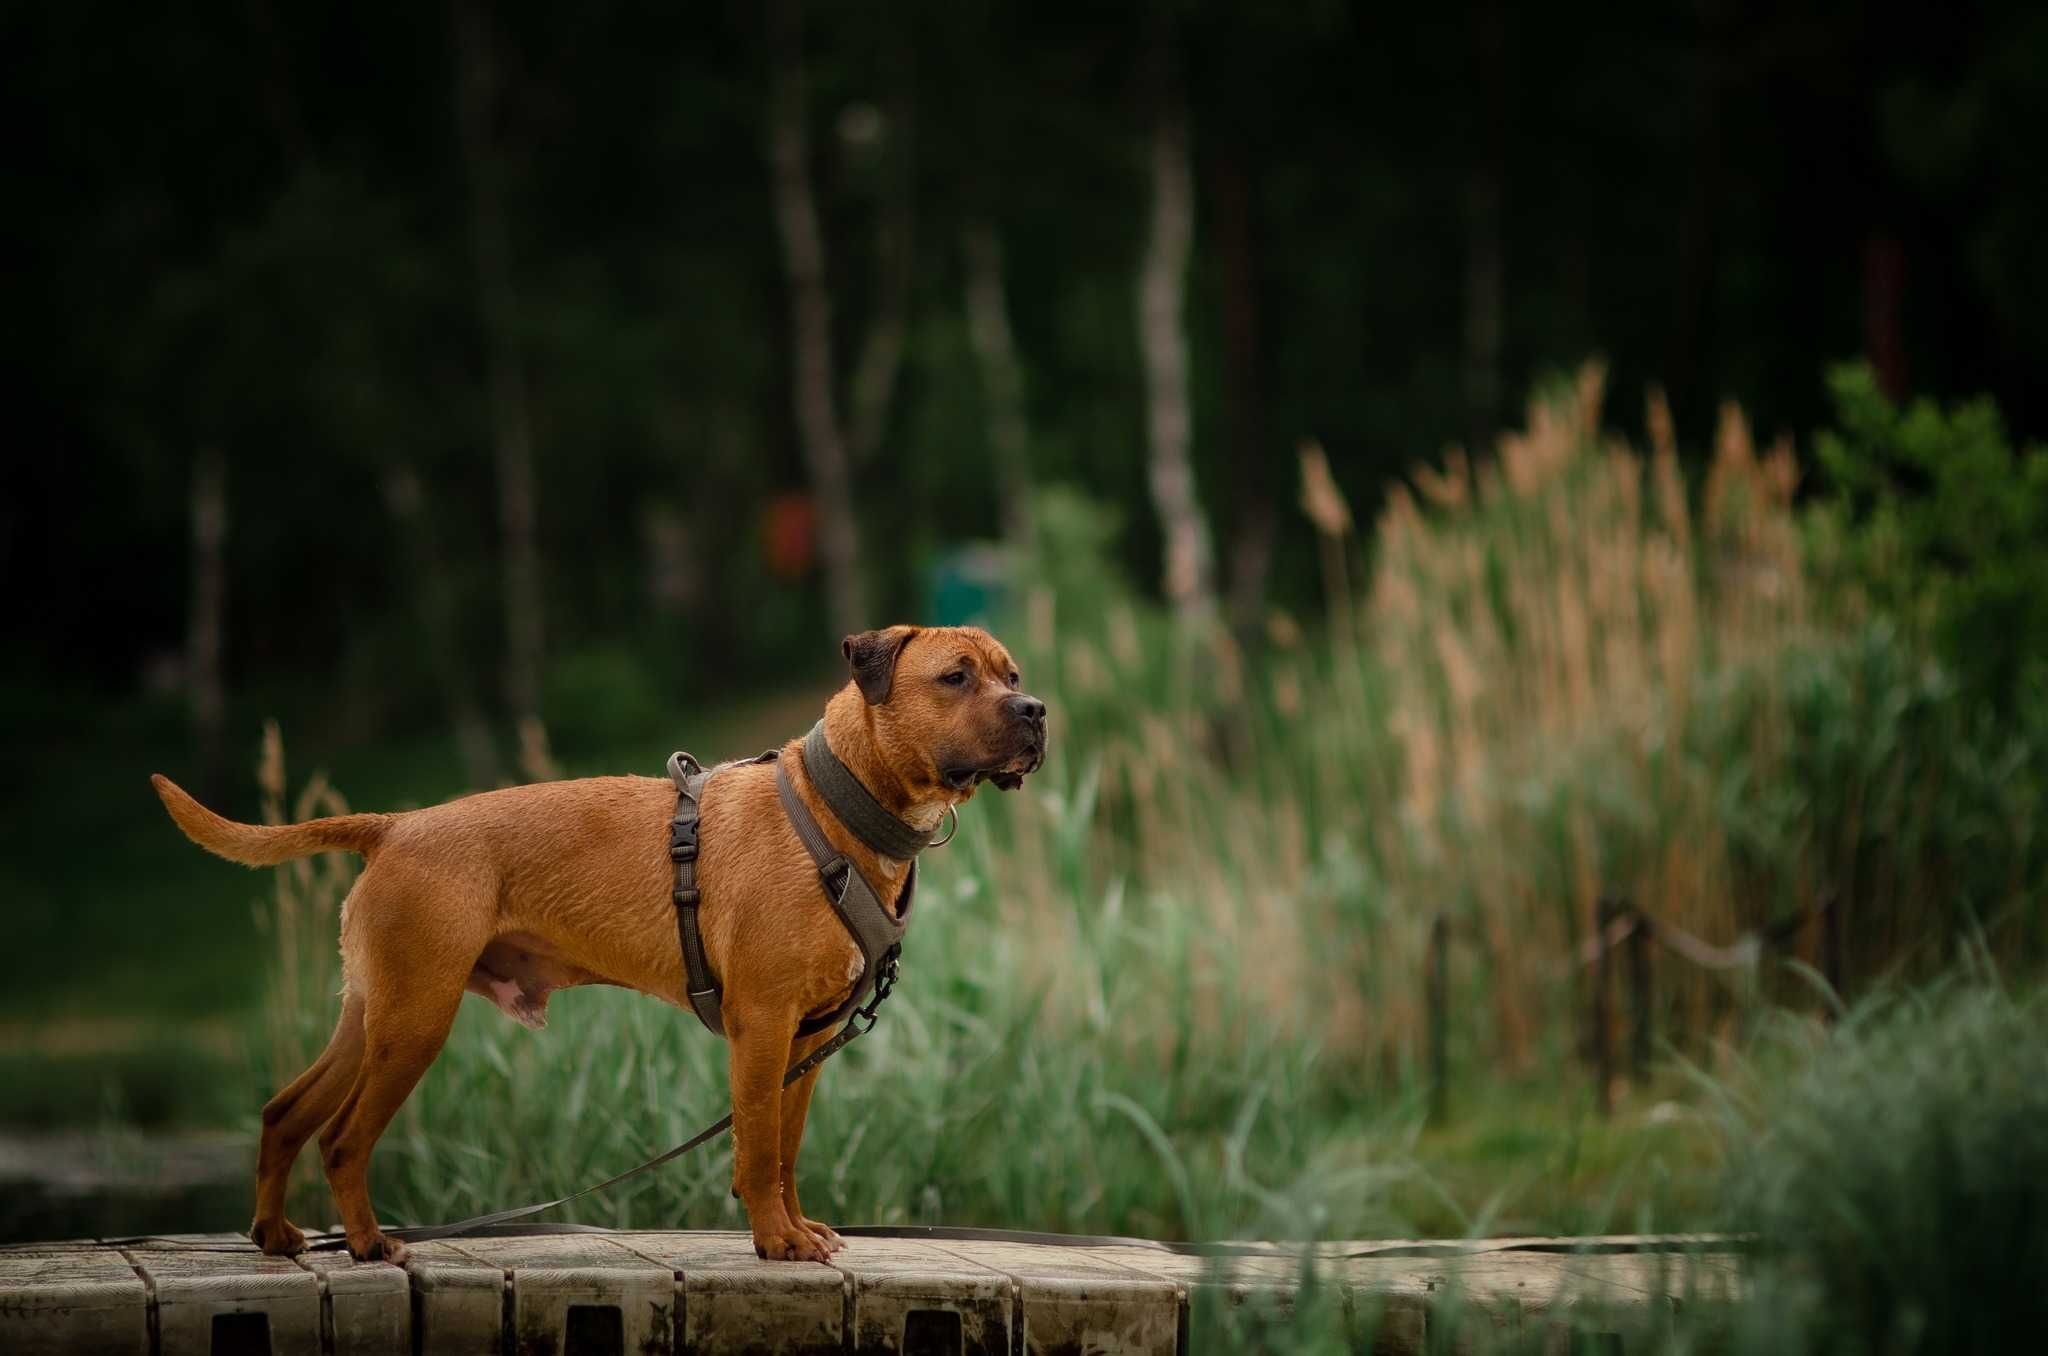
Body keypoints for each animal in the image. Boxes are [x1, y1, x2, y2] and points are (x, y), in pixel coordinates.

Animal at [153, 626, 1048, 1261]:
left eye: (1011, 675)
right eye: (956, 677)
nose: (1037, 710)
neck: (840, 805)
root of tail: (395, 826)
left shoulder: (807, 1040)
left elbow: (787, 1151)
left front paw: (797, 1228)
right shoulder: (763, 1030)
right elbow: (758, 1149)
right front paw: (775, 1241)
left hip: (371, 1018)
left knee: (284, 1114)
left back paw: (276, 1237)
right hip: (414, 1024)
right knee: (341, 1139)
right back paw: (371, 1245)